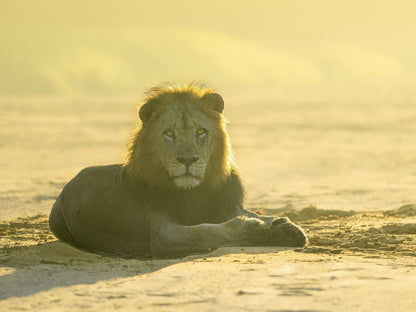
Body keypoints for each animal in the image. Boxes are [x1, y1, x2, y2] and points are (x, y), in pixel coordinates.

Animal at [49, 83, 308, 258]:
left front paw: (286, 227)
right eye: (169, 133)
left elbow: (257, 215)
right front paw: (256, 229)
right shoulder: (163, 235)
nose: (187, 160)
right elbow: (207, 231)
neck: (196, 192)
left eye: (201, 131)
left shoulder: (226, 204)